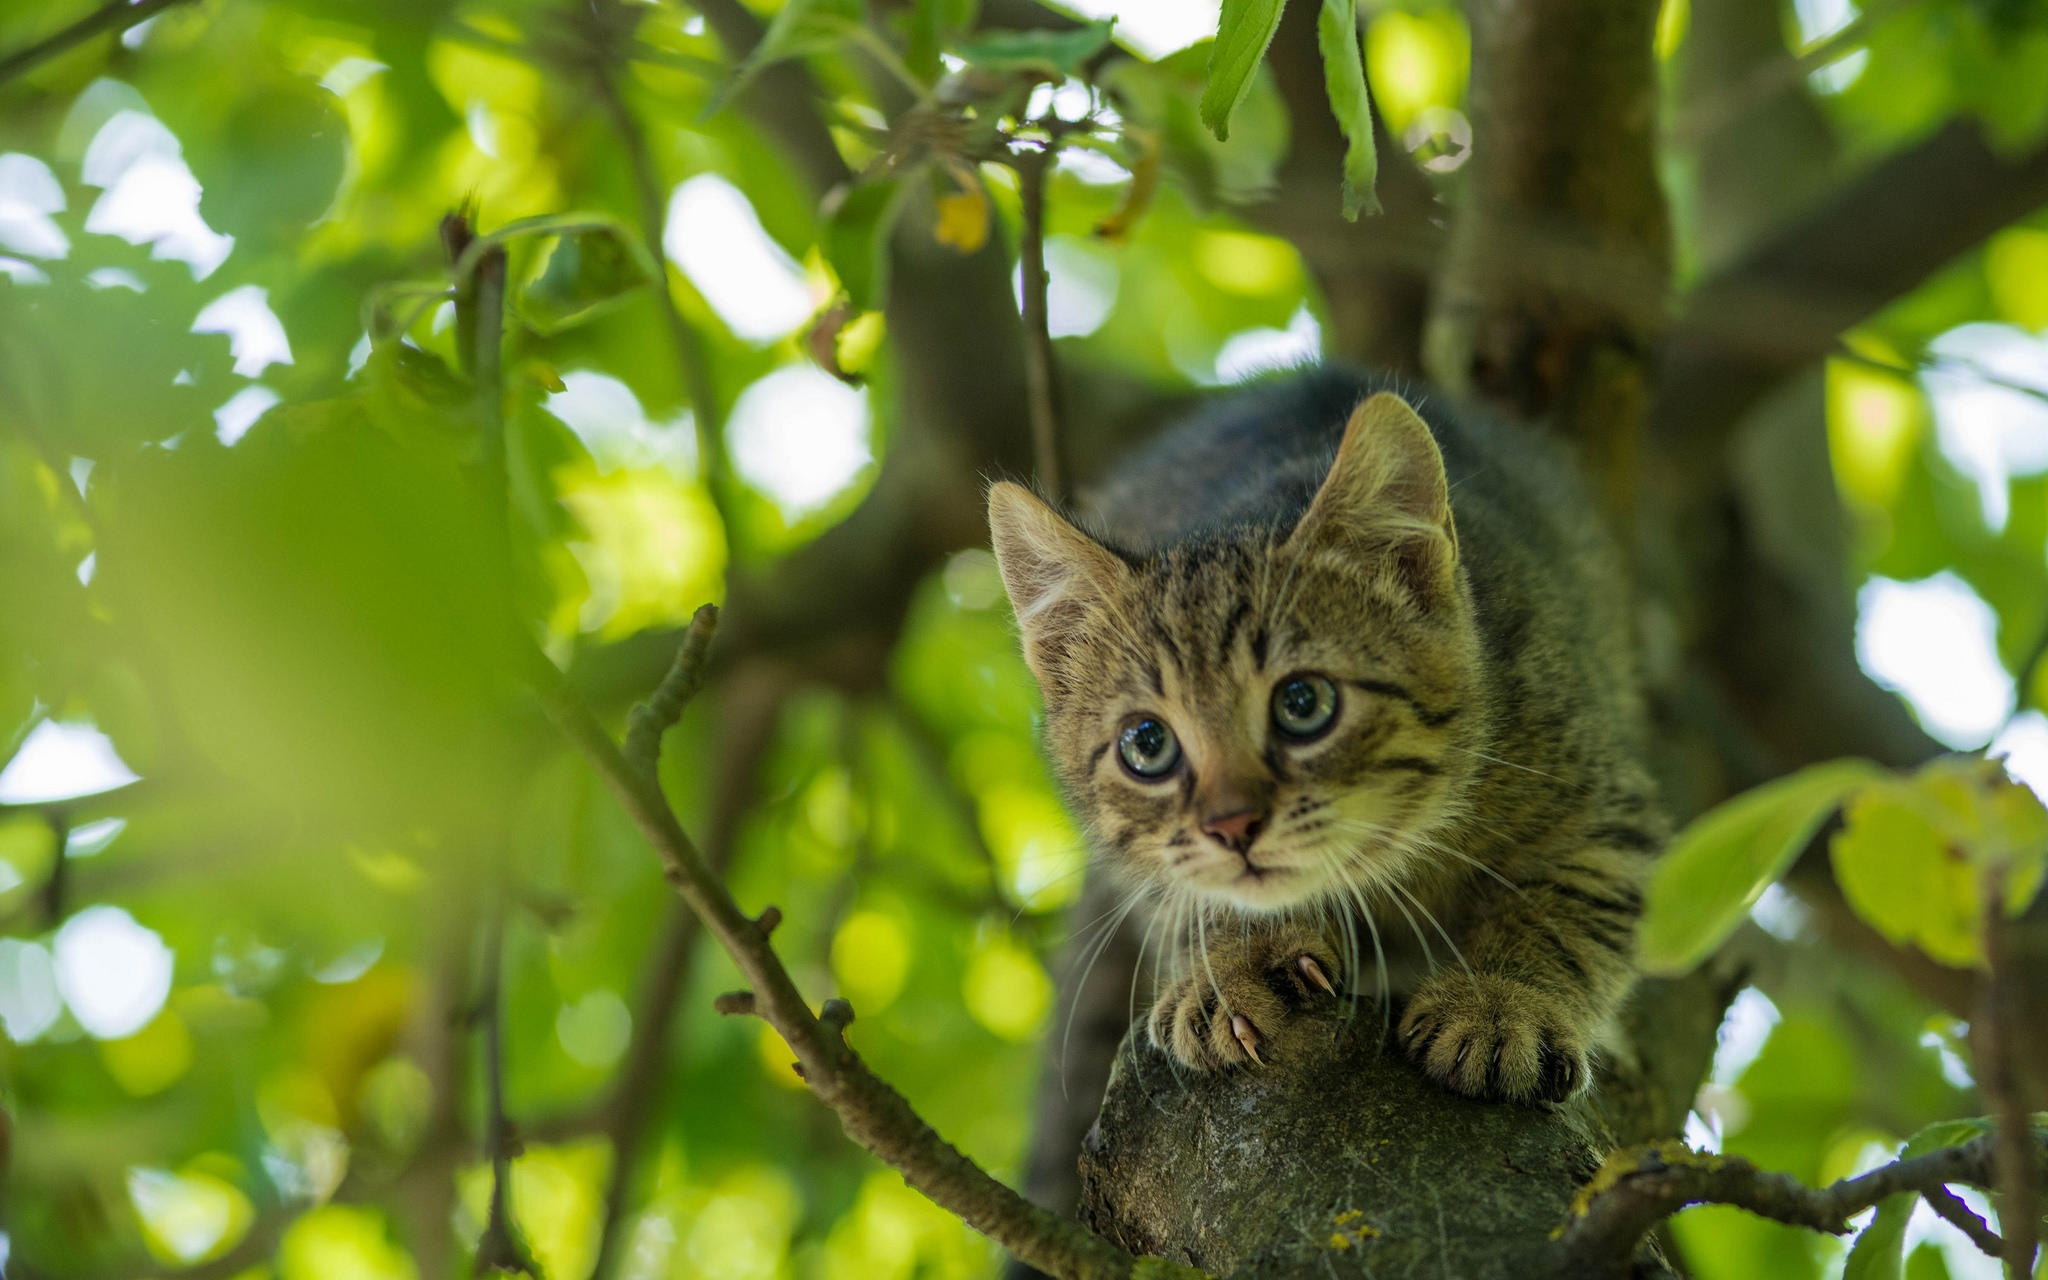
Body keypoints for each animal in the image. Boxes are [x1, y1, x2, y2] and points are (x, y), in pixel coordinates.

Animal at [987, 366, 1662, 1097]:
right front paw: (1236, 960)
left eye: (1303, 703)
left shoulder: (1602, 801)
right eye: (1147, 744)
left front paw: (1502, 1001)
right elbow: (1182, 893)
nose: (1231, 826)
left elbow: (1567, 905)